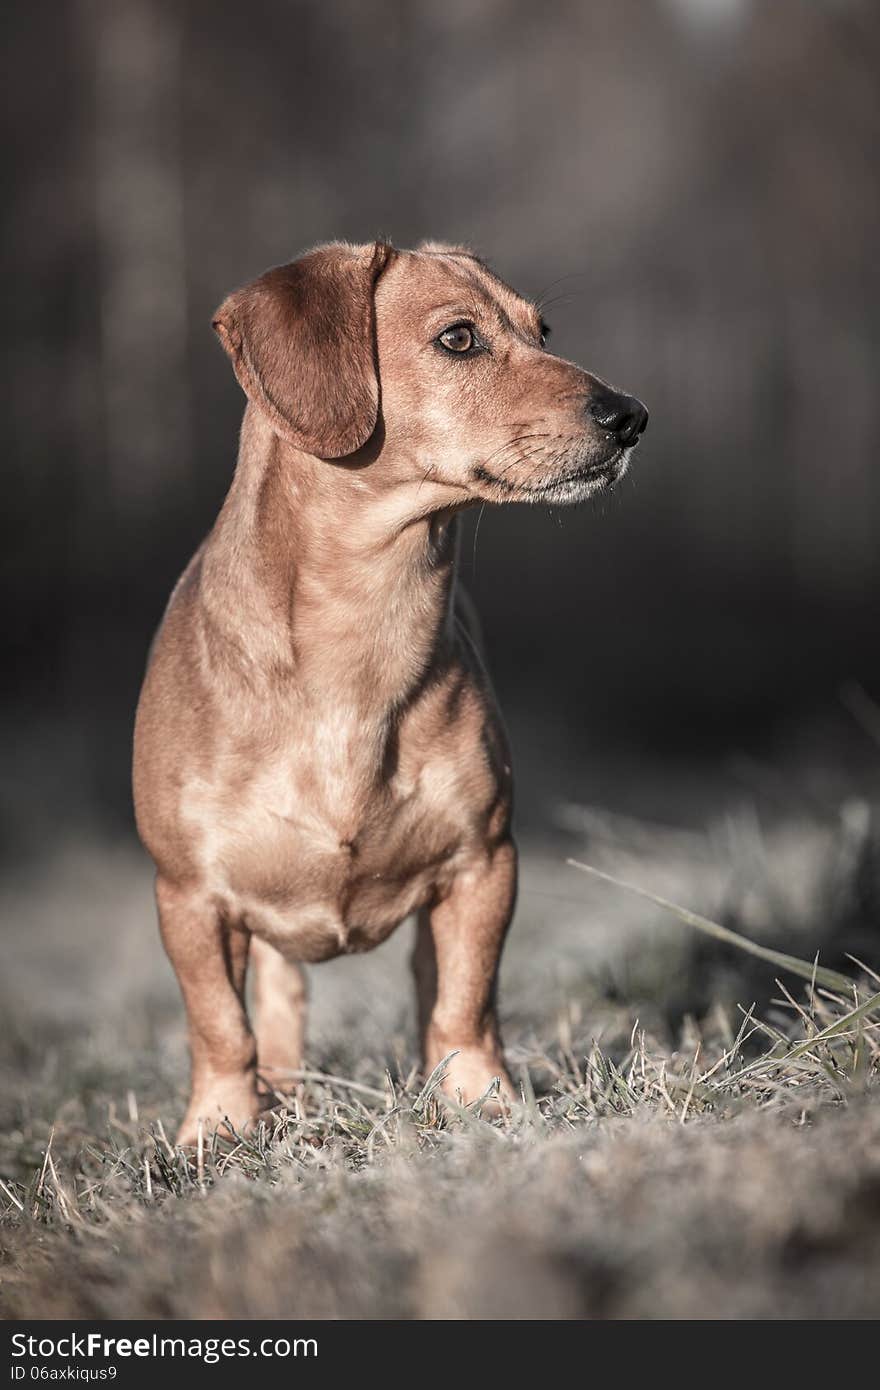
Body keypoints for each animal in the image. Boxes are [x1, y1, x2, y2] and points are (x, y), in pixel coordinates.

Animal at [132, 244, 645, 1139]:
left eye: (543, 330)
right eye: (459, 338)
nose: (631, 416)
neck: (358, 640)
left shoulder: (484, 863)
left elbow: (466, 1001)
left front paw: (480, 1097)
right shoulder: (189, 896)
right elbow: (219, 1024)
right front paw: (219, 1128)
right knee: (276, 1000)